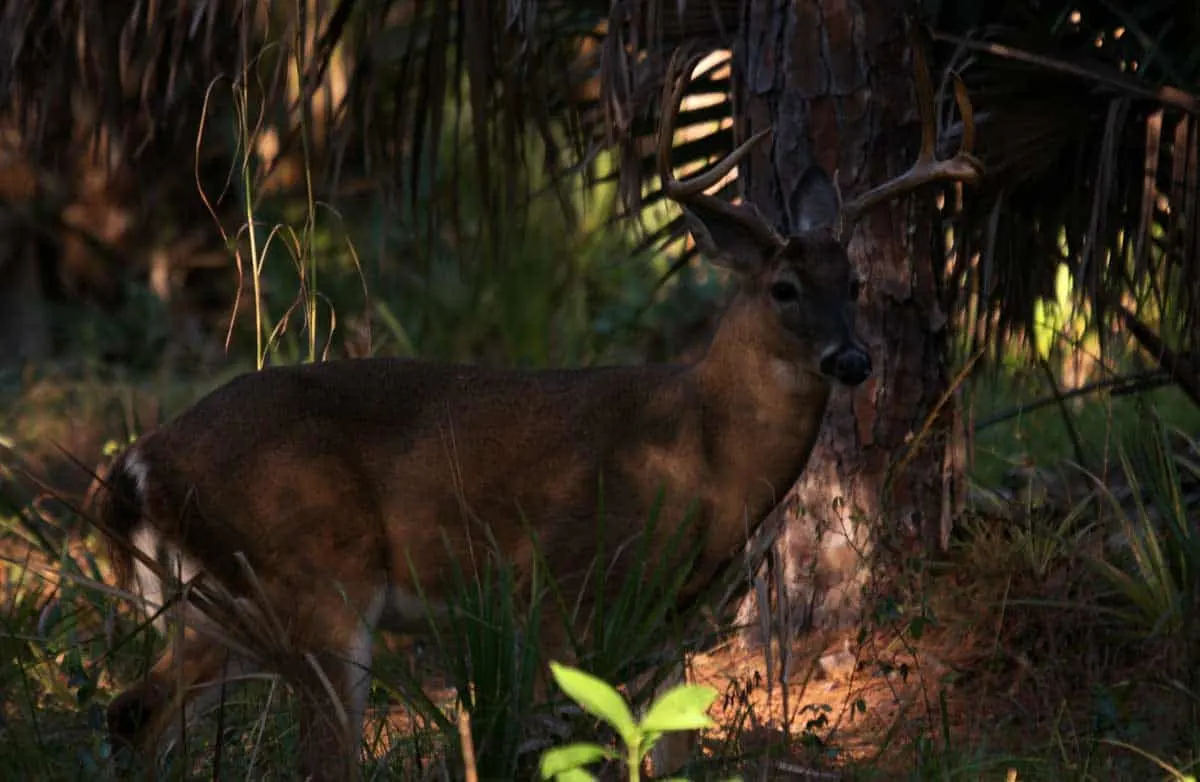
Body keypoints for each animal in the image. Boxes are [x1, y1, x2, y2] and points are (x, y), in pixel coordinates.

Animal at [91, 47, 974, 782]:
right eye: (784, 289)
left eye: (854, 282)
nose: (852, 359)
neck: (704, 454)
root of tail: (141, 462)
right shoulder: (559, 589)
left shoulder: (670, 623)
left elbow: (668, 757)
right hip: (314, 581)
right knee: (314, 758)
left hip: (224, 606)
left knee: (133, 710)